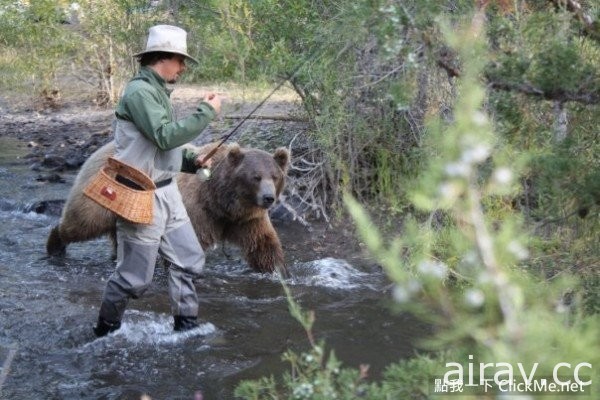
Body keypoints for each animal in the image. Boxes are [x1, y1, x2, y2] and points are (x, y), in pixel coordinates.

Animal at [47, 139, 290, 274]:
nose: (268, 198)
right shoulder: (198, 210)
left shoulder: (247, 219)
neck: (221, 201)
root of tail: (100, 148)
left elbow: (262, 245)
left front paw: (279, 271)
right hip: (103, 195)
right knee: (84, 221)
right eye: (255, 177)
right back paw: (55, 244)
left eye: (275, 176)